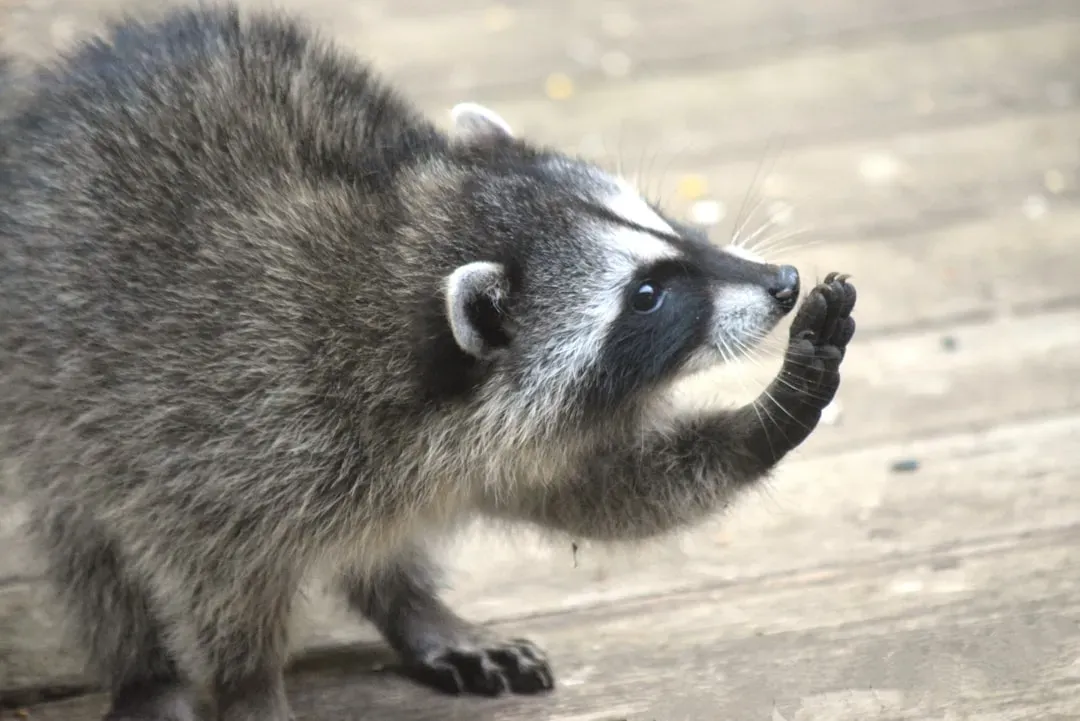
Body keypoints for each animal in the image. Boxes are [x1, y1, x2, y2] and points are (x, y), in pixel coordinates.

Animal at [0, 5, 857, 721]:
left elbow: (602, 489)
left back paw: (412, 608)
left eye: (661, 220)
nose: (782, 284)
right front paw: (245, 686)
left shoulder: (504, 436)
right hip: (49, 381)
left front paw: (774, 411)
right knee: (87, 535)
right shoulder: (223, 420)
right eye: (647, 294)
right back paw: (142, 669)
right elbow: (216, 572)